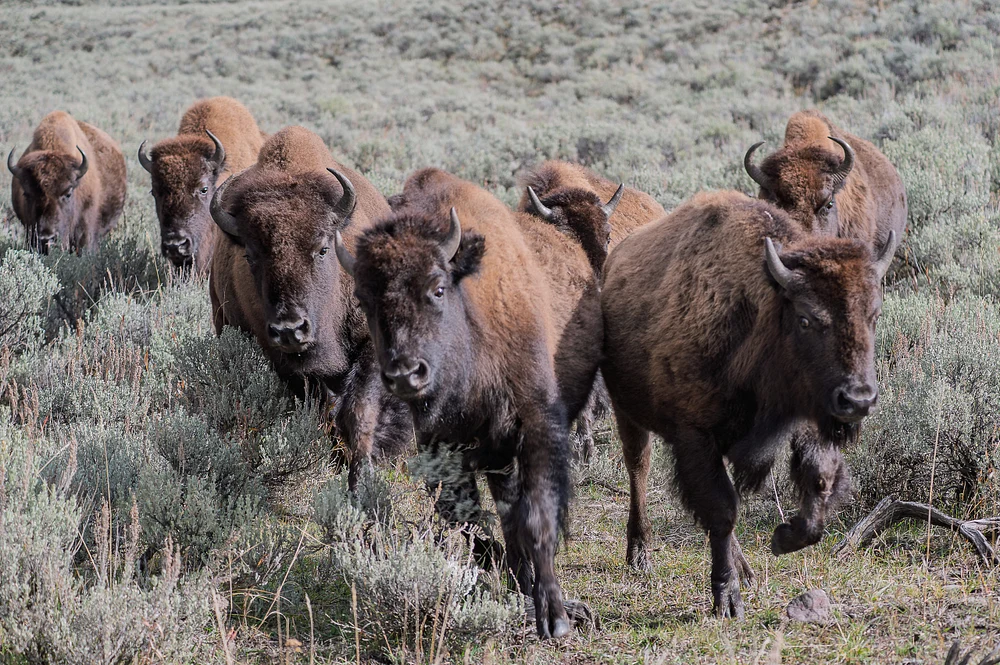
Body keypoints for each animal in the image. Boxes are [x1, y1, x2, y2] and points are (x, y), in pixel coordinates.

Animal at [209, 125, 410, 487]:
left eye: (322, 248)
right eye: (251, 255)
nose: (291, 329)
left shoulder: (373, 347)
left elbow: (358, 410)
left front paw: (361, 481)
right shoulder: (288, 365)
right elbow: (326, 410)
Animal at [334, 168, 602, 638]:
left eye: (438, 288)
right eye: (364, 300)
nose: (405, 374)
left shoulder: (535, 429)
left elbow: (537, 518)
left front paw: (556, 616)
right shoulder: (442, 447)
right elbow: (467, 515)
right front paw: (509, 576)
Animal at [601, 190, 895, 618]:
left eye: (873, 314)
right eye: (806, 319)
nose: (857, 399)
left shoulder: (807, 420)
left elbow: (819, 482)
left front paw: (784, 538)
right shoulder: (696, 437)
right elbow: (722, 510)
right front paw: (728, 599)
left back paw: (746, 567)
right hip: (629, 413)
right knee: (638, 467)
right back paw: (640, 555)